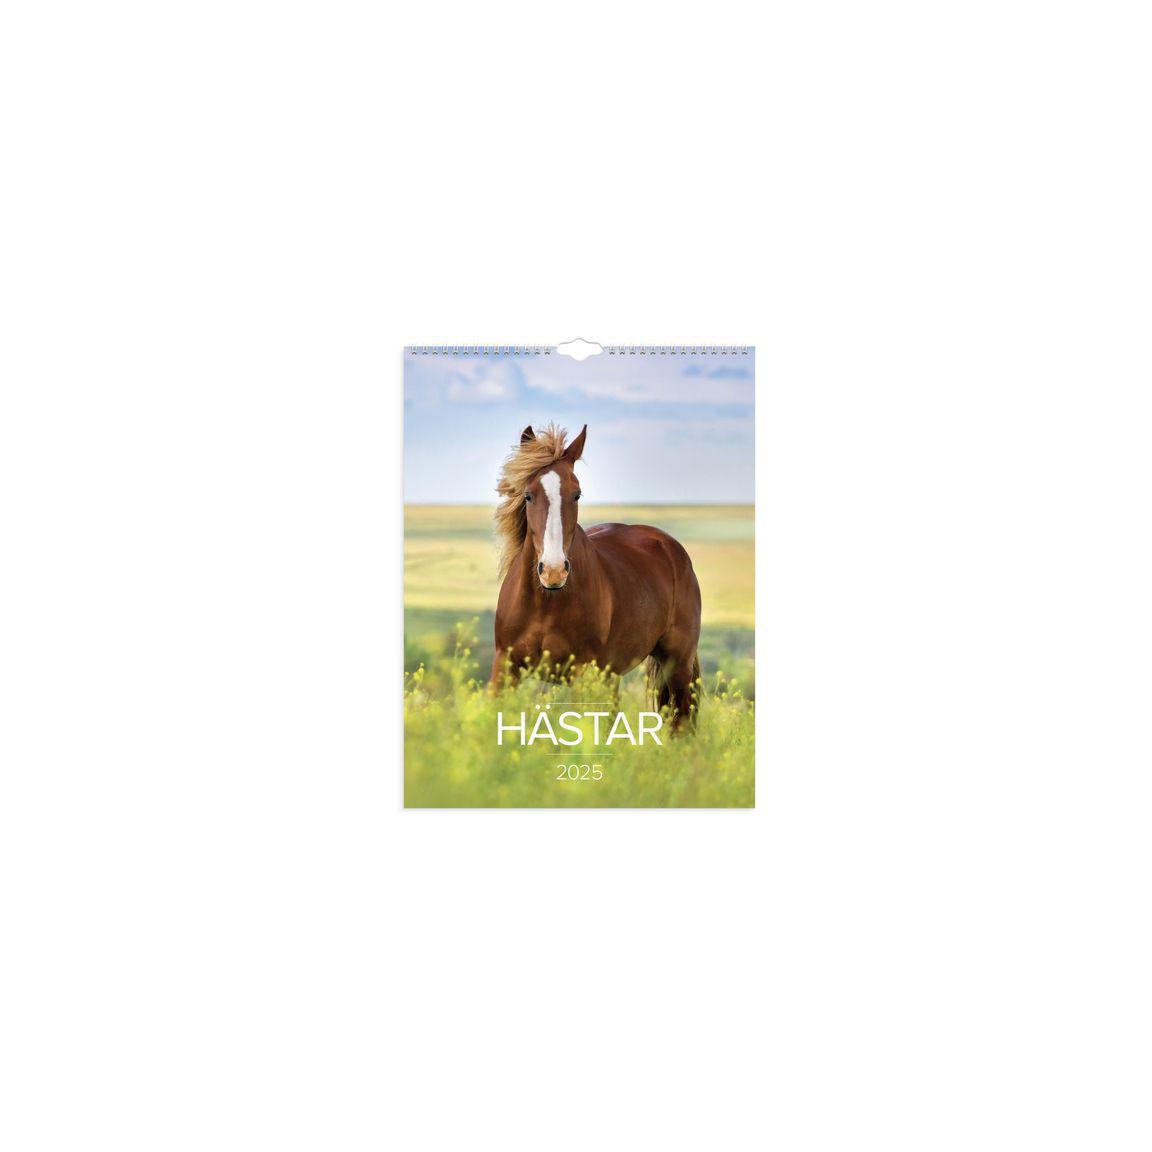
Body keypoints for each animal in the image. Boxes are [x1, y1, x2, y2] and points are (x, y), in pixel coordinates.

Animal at [489, 423, 702, 730]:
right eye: (528, 495)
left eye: (576, 494)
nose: (554, 571)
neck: (546, 603)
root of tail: (669, 546)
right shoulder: (505, 667)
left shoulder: (582, 672)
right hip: (613, 675)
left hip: (677, 665)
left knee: (681, 722)